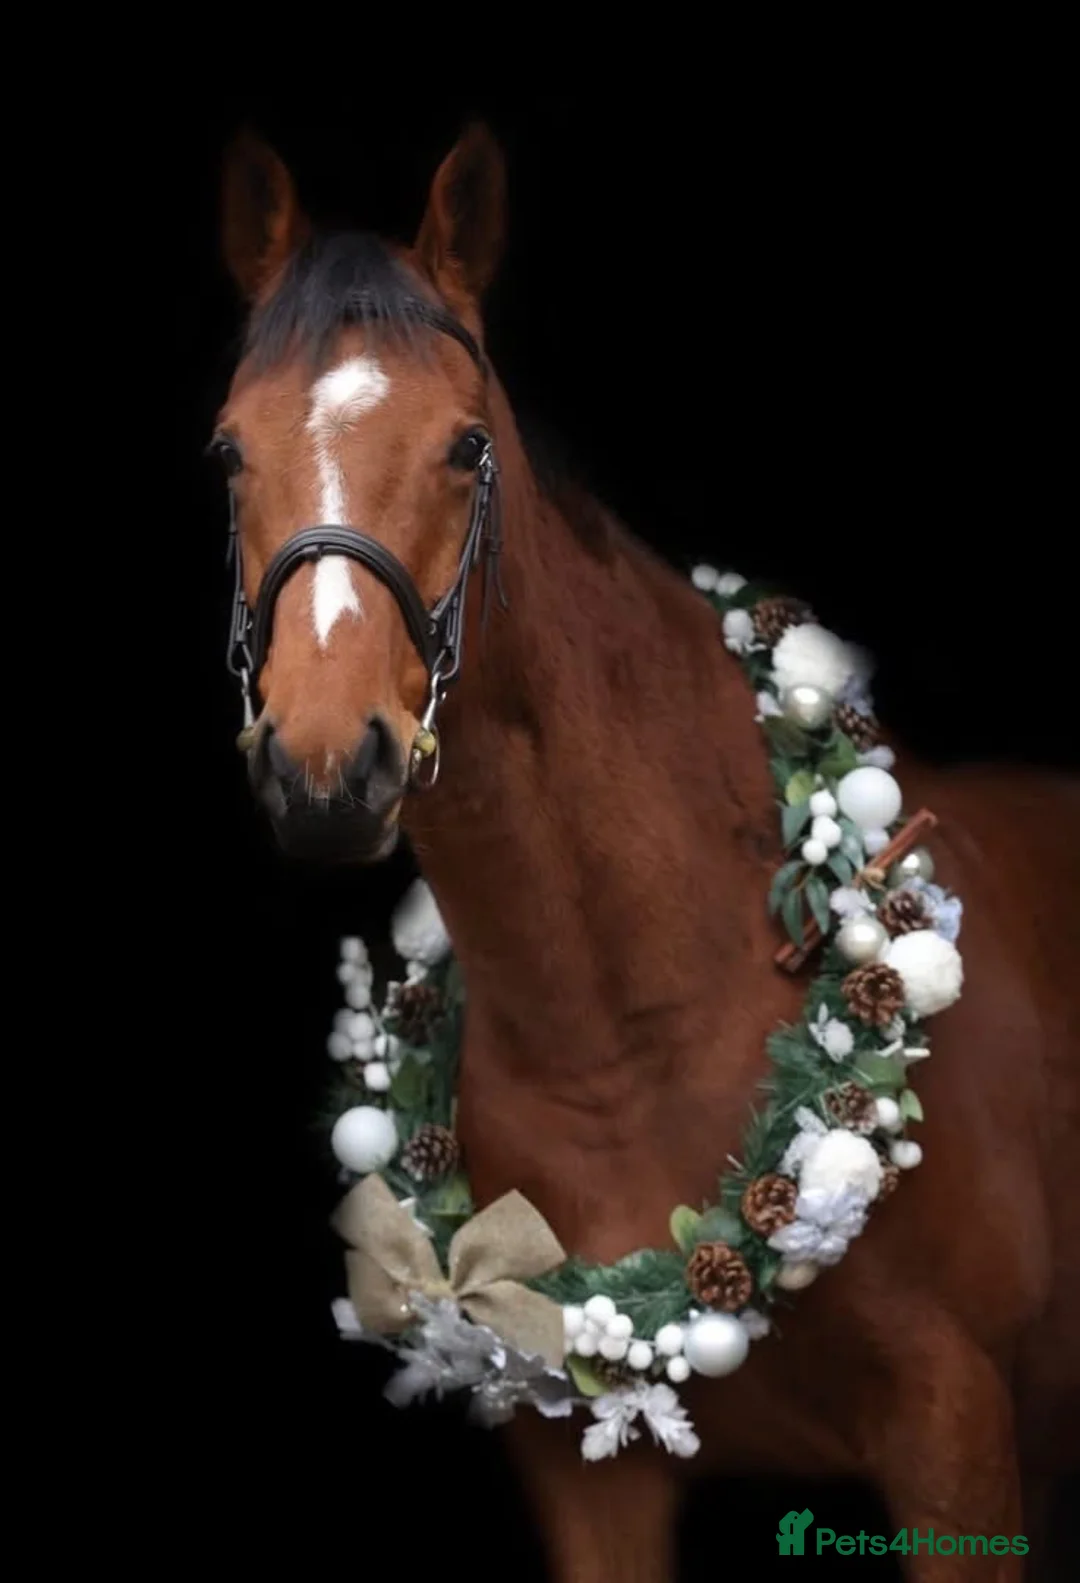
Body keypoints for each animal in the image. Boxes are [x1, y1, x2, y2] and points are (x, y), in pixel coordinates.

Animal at [212, 122, 1079, 1581]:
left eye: (466, 444)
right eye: (228, 452)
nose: (328, 767)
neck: (643, 1028)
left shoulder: (956, 1439)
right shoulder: (584, 1470)